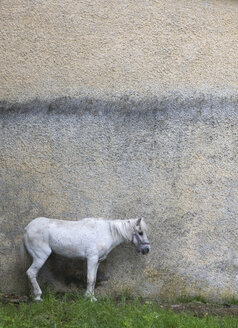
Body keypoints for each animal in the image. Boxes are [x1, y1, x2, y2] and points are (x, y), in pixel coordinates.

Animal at [22, 217, 150, 302]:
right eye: (140, 232)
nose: (147, 249)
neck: (107, 232)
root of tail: (27, 228)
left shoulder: (97, 261)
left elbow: (94, 279)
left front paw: (91, 297)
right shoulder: (92, 258)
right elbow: (90, 278)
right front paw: (89, 299)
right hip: (41, 256)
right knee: (31, 273)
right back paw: (38, 297)